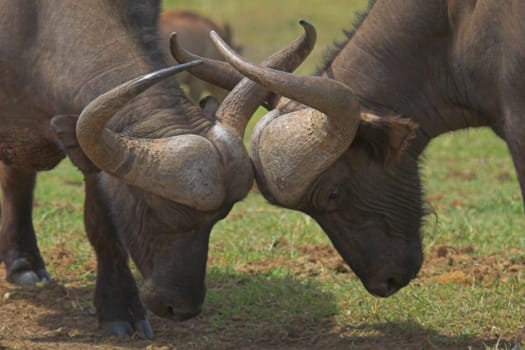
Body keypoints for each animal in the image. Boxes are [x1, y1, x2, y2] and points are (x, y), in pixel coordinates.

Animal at [0, 1, 314, 338]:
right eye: (153, 210)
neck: (33, 29)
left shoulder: (91, 158)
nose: (183, 308)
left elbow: (104, 227)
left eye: (218, 219)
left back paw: (24, 263)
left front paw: (119, 306)